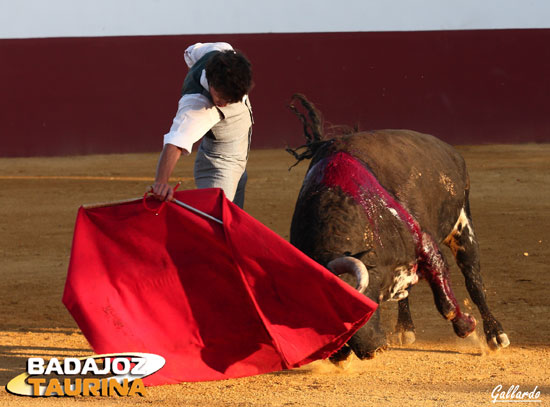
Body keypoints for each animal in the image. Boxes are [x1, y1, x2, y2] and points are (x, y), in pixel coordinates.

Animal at [292, 95, 512, 360]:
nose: (374, 349)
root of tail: (451, 151)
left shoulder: (426, 246)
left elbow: (446, 303)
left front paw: (467, 325)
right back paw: (405, 329)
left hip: (462, 226)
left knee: (474, 280)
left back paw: (496, 335)